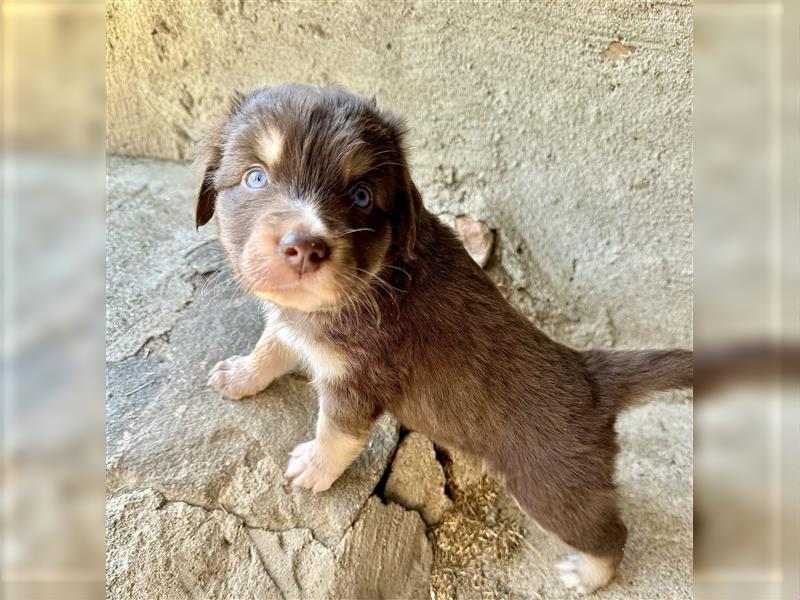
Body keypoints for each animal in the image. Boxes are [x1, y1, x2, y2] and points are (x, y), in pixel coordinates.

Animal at [192, 84, 688, 596]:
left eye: (361, 195)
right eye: (255, 178)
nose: (305, 247)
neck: (375, 277)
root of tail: (592, 376)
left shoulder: (359, 380)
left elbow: (336, 432)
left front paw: (314, 466)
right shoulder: (294, 326)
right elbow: (270, 346)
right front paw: (240, 375)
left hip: (551, 487)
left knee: (610, 534)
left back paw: (587, 575)